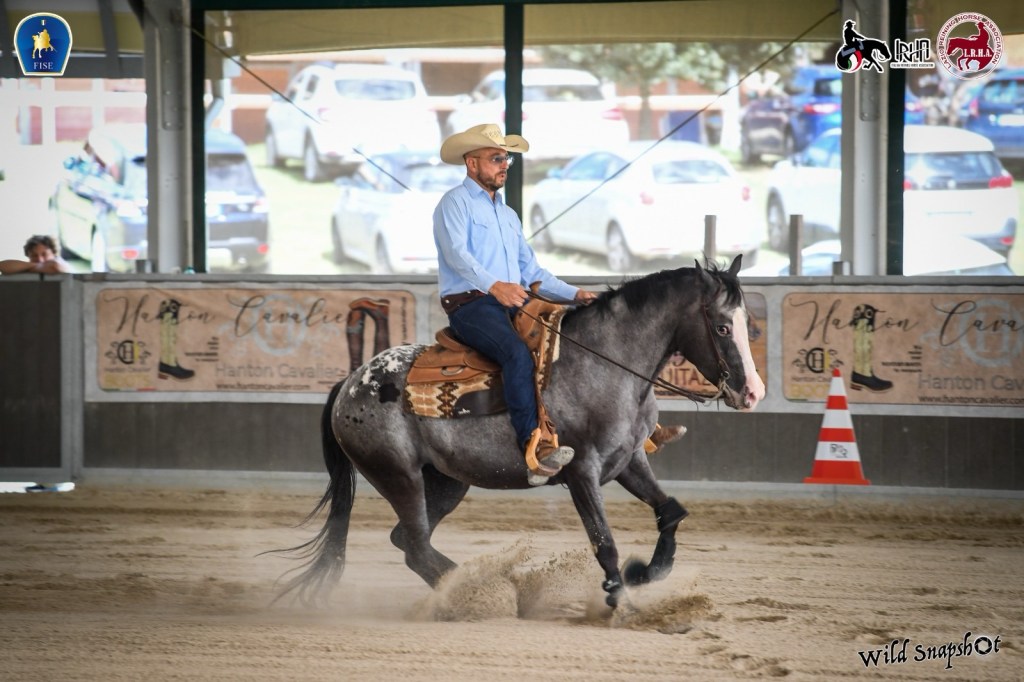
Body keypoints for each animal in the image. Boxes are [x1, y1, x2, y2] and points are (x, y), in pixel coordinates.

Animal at [271, 255, 765, 609]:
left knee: (410, 542)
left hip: (445, 482)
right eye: (722, 326)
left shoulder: (629, 461)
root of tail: (350, 383)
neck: (606, 364)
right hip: (398, 475)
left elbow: (671, 511)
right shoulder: (581, 472)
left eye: (750, 326)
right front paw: (621, 603)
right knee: (415, 544)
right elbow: (603, 543)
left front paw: (646, 572)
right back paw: (483, 595)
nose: (752, 392)